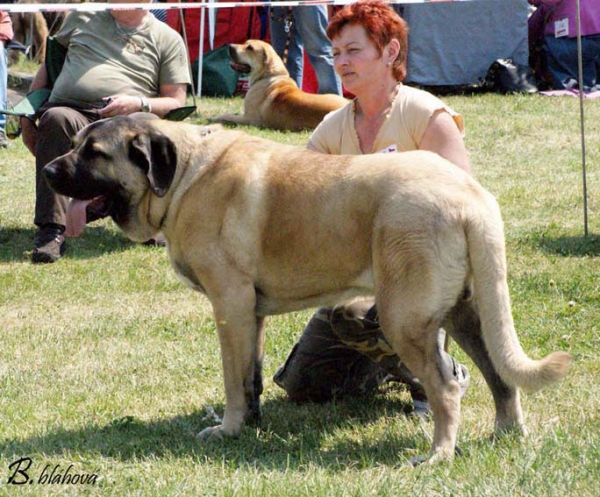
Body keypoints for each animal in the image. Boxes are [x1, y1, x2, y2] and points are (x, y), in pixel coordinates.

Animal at [43, 117, 572, 464]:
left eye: (94, 153)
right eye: (75, 144)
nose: (48, 171)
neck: (183, 176)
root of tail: (471, 196)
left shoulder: (229, 304)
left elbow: (232, 378)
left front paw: (227, 428)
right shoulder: (250, 314)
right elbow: (251, 376)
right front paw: (250, 424)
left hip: (404, 317)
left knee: (446, 386)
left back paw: (438, 455)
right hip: (466, 313)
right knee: (499, 377)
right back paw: (507, 434)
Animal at [211, 39, 344, 131]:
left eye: (250, 48)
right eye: (245, 43)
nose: (230, 46)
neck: (269, 75)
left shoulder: (249, 119)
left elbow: (227, 116)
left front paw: (214, 118)